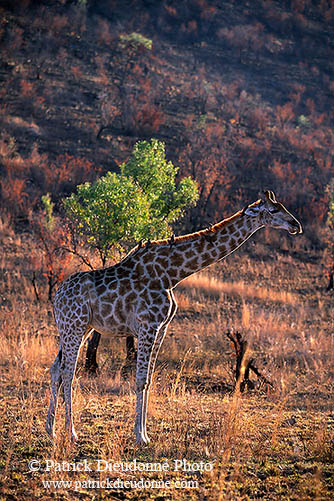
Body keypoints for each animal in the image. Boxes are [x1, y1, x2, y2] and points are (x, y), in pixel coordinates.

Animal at [45, 189, 302, 444]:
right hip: (75, 326)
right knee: (68, 371)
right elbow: (140, 379)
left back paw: (51, 429)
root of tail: (56, 296)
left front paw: (145, 434)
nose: (295, 225)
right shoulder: (148, 325)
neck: (173, 274)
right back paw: (71, 432)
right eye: (273, 210)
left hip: (77, 328)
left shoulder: (161, 328)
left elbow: (148, 379)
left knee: (56, 368)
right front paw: (139, 436)